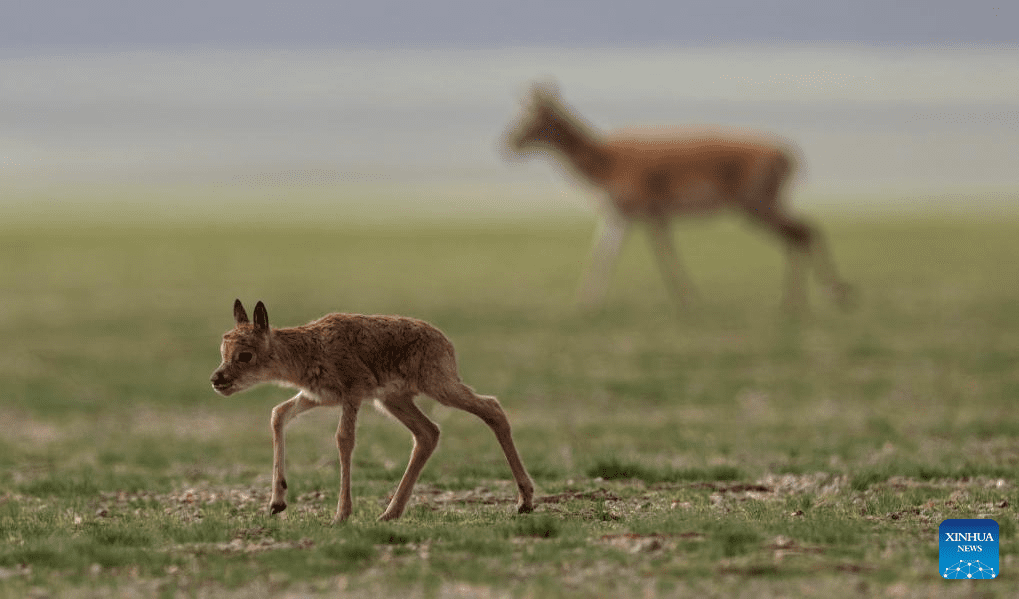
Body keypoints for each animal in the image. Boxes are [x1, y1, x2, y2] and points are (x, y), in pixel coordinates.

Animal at [211, 297, 538, 519]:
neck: (310, 348)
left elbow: (344, 439)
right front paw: (276, 502)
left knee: (492, 408)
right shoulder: (316, 397)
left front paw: (341, 514)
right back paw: (390, 513)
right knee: (428, 433)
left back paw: (525, 501)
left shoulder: (353, 392)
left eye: (245, 355)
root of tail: (446, 343)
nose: (217, 379)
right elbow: (278, 414)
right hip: (394, 400)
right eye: (223, 350)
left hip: (439, 387)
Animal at [503, 84, 851, 309]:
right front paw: (587, 301)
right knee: (804, 230)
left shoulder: (646, 214)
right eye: (522, 114)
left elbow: (661, 256)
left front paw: (687, 298)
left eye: (533, 116)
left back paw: (822, 296)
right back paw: (808, 298)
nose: (508, 142)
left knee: (801, 232)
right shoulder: (624, 215)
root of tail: (787, 152)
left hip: (756, 206)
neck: (606, 158)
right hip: (764, 206)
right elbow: (605, 254)